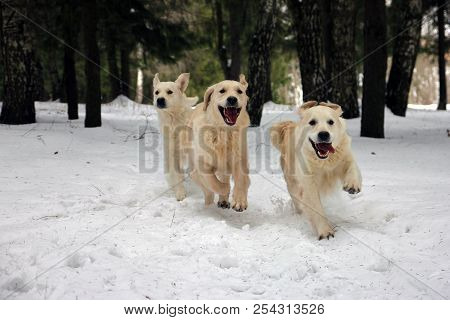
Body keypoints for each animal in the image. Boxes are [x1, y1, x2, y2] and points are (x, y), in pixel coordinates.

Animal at [189, 74, 250, 211]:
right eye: (222, 91)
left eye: (239, 91)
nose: (232, 99)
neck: (224, 132)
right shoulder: (200, 165)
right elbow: (213, 182)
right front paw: (225, 189)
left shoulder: (240, 159)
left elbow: (241, 179)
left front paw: (239, 201)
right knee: (208, 191)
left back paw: (223, 201)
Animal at [270, 101, 362, 239]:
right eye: (312, 122)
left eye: (331, 122)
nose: (324, 134)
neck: (324, 161)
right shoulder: (309, 183)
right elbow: (316, 207)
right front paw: (325, 231)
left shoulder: (346, 158)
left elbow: (352, 168)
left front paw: (352, 185)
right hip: (293, 183)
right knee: (297, 199)